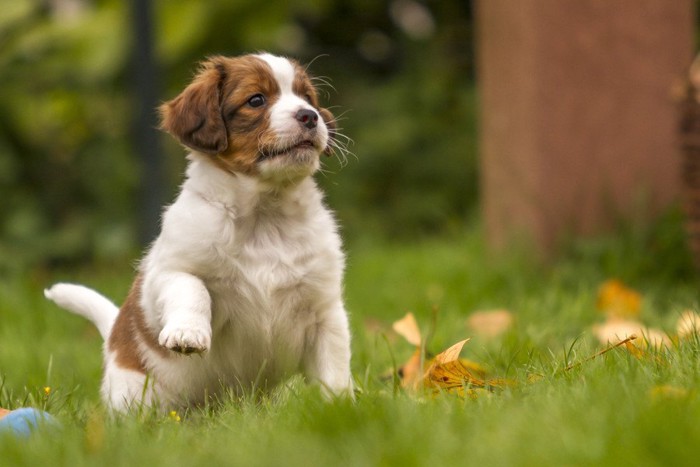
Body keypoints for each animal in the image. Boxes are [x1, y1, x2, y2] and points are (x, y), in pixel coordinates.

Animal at [44, 53, 352, 414]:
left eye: (307, 97)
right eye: (256, 100)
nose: (310, 116)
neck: (264, 216)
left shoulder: (325, 309)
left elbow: (334, 368)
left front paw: (342, 409)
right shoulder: (168, 271)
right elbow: (193, 289)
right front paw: (187, 333)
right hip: (135, 394)